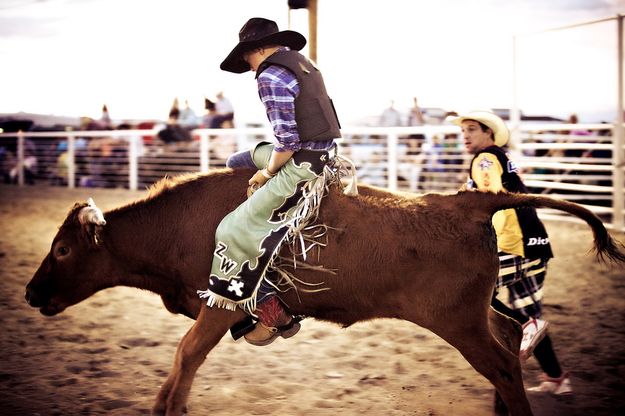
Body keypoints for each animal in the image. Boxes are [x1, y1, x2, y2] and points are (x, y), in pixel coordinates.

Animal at [23, 167, 624, 414]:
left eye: (63, 251)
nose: (29, 294)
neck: (183, 223)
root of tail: (469, 200)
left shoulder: (220, 305)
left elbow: (186, 354)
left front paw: (168, 406)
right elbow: (185, 358)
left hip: (458, 322)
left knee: (502, 362)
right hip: (475, 314)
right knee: (511, 335)